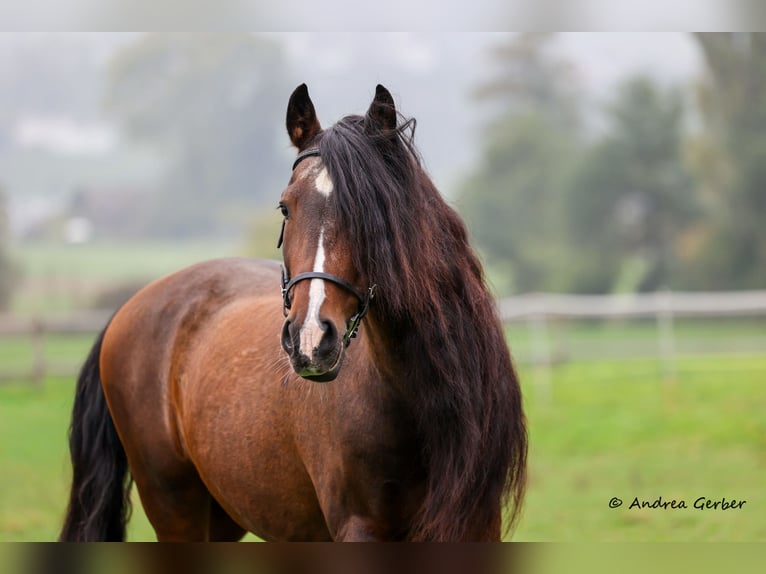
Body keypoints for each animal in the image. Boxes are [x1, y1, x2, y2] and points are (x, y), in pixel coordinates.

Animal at [58, 84, 527, 542]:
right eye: (285, 207)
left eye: (372, 208)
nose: (310, 340)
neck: (419, 407)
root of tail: (130, 306)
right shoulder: (361, 529)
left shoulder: (478, 525)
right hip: (174, 507)